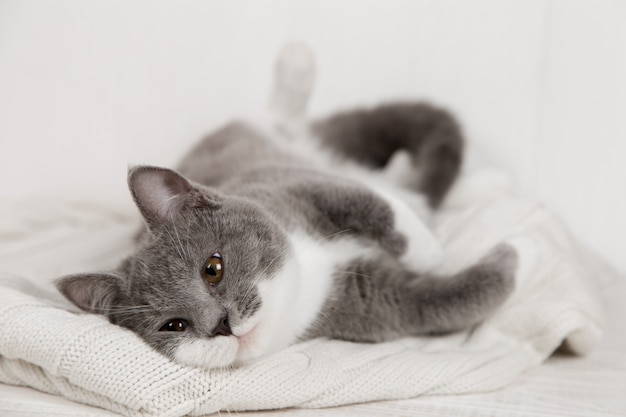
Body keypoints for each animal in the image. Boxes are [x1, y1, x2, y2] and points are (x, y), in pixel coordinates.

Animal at [57, 104, 516, 368]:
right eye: (174, 325)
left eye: (212, 268)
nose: (220, 325)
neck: (309, 270)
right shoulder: (362, 301)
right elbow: (439, 302)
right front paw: (513, 253)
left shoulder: (290, 183)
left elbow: (368, 203)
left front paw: (427, 251)